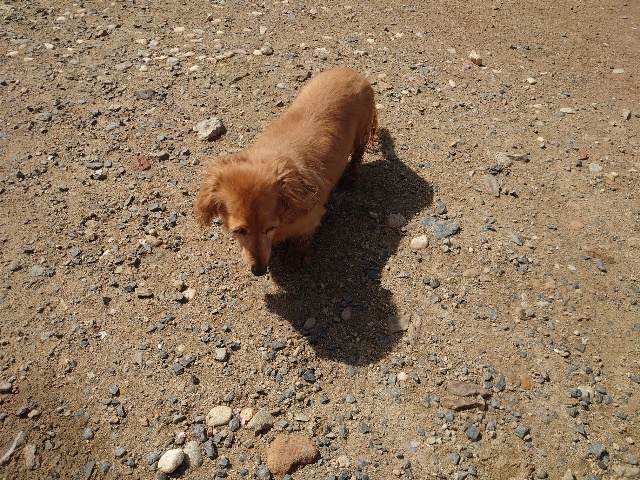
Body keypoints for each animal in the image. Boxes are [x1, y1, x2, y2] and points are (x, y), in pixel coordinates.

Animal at [195, 68, 377, 276]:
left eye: (270, 228)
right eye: (239, 231)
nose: (259, 270)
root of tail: (352, 71)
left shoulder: (312, 218)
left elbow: (301, 238)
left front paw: (295, 255)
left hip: (362, 130)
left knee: (358, 153)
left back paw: (352, 176)